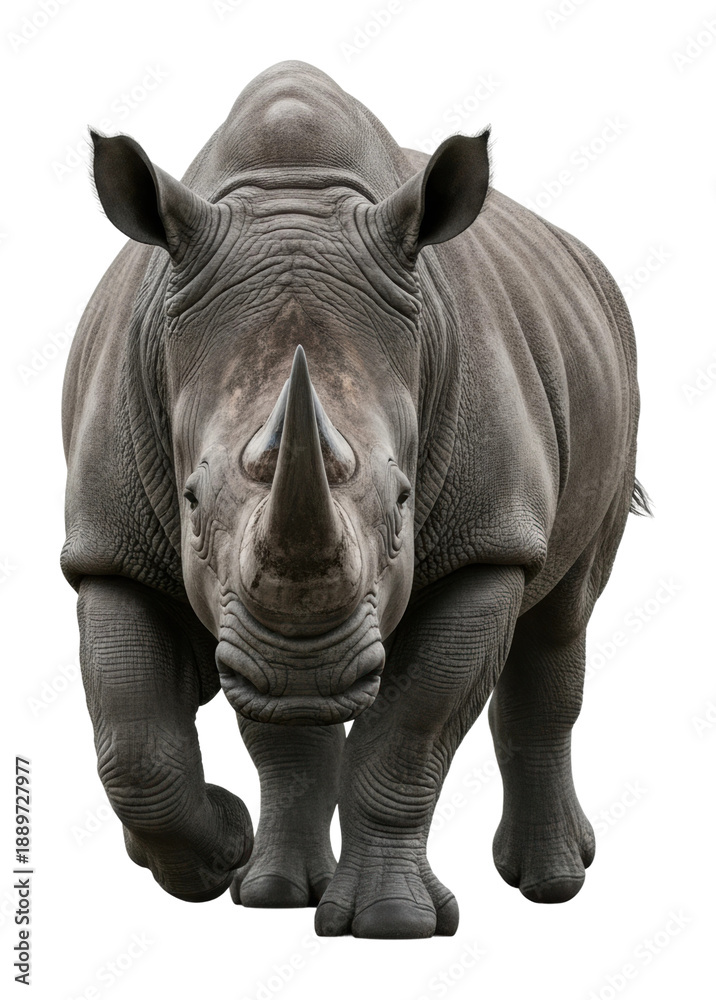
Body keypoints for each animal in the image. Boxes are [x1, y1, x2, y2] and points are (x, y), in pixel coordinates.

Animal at [61, 60, 647, 939]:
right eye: (190, 501)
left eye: (405, 501)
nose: (303, 670)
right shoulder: (110, 546)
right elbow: (139, 749)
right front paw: (227, 855)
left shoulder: (488, 541)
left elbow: (407, 736)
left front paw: (392, 926)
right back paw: (277, 887)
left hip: (612, 360)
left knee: (561, 618)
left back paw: (550, 885)